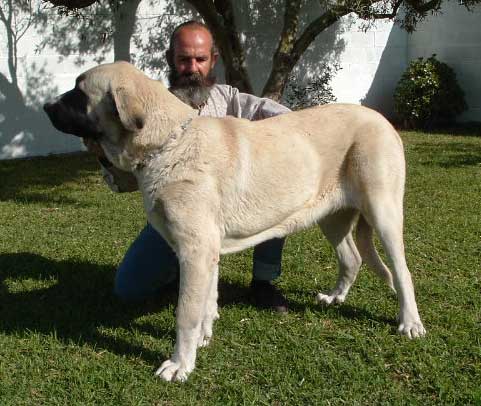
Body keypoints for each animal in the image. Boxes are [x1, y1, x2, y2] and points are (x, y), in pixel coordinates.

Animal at [42, 60, 424, 380]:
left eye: (79, 92)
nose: (45, 106)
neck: (168, 143)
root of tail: (380, 118)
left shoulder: (194, 251)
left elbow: (186, 312)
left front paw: (179, 364)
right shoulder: (205, 250)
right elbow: (207, 301)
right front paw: (204, 337)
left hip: (383, 210)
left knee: (402, 271)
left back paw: (410, 323)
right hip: (331, 216)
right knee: (352, 258)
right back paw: (334, 298)